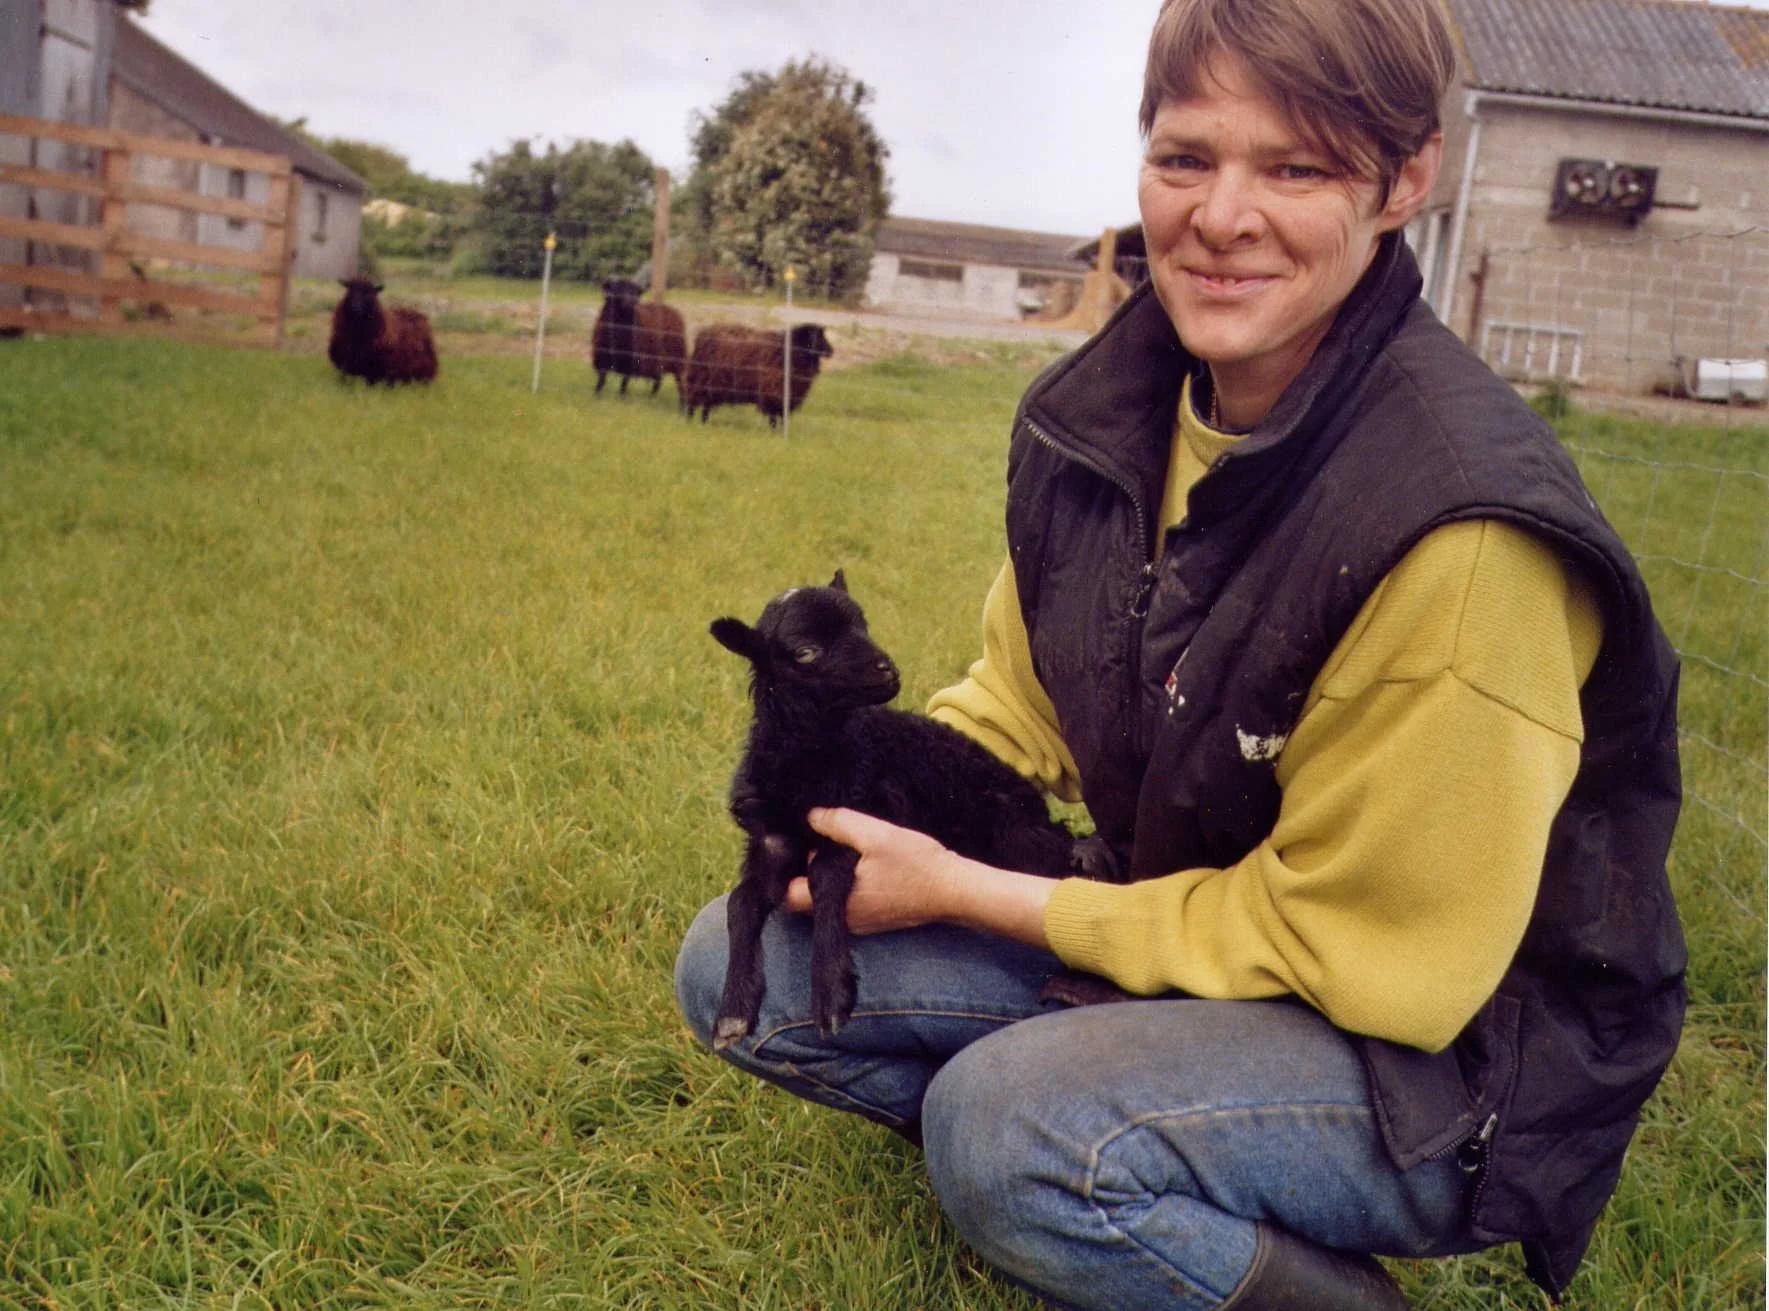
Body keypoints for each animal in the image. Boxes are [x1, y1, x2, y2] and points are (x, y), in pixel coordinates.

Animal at [683, 322, 833, 428]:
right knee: (692, 403)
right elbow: (774, 418)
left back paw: (703, 423)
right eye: (817, 338)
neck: (789, 352)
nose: (832, 351)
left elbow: (782, 417)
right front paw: (775, 433)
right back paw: (689, 422)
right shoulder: (772, 393)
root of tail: (702, 335)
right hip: (699, 381)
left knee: (705, 406)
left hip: (711, 386)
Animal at [707, 571, 1120, 1048]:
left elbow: (824, 876)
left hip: (1011, 833)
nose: (887, 669)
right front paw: (733, 1009)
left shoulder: (866, 814)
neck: (812, 756)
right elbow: (741, 902)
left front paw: (830, 993)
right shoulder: (772, 837)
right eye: (806, 651)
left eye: (863, 626)